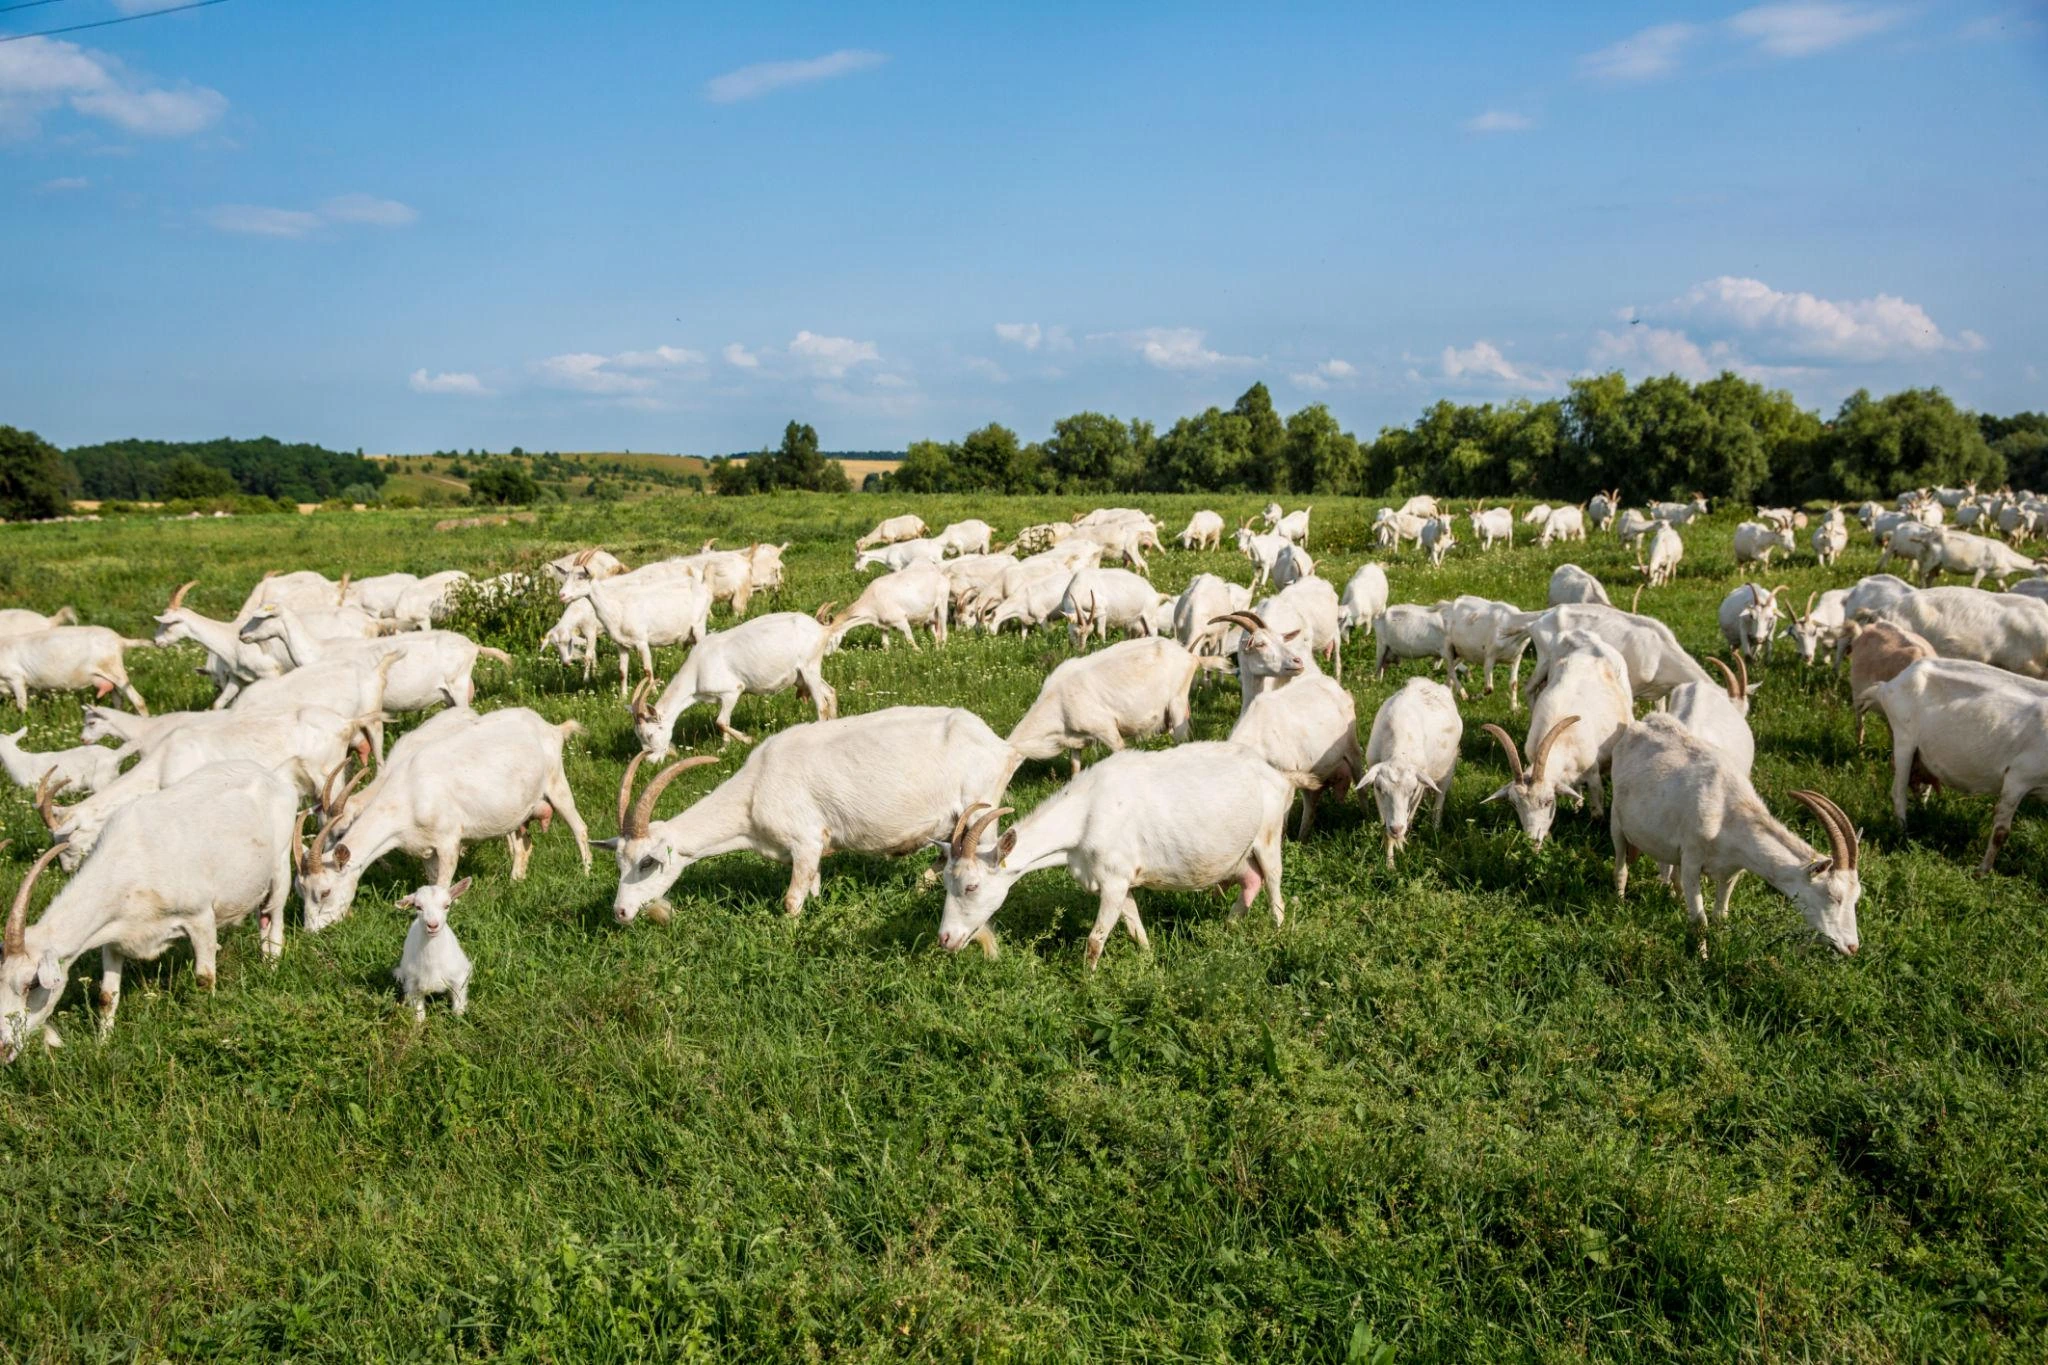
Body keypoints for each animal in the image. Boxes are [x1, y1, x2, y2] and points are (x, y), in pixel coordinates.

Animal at [932, 744, 1293, 966]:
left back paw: (1277, 934)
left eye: (972, 886)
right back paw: (1228, 929)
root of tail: (1276, 775)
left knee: (1274, 883)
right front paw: (1148, 962)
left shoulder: (1114, 880)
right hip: (1242, 854)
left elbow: (1096, 939)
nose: (945, 939)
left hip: (1268, 834)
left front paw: (1086, 986)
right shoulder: (1120, 882)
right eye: (946, 885)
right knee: (1251, 880)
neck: (1086, 813)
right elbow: (1134, 927)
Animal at [1610, 713, 1861, 957]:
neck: (1728, 813)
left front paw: (1721, 949)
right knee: (1621, 865)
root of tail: (1642, 723)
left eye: (1855, 897)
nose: (1852, 947)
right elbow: (1700, 920)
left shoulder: (1733, 870)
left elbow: (1721, 915)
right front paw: (1702, 959)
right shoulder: (1692, 859)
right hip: (1617, 820)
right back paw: (1620, 904)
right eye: (1834, 896)